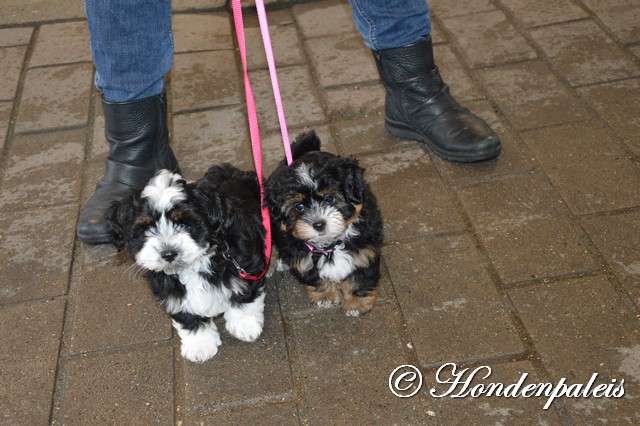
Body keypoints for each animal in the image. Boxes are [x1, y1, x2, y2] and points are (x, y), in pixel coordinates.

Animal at [107, 166, 264, 362]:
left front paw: (245, 325)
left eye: (184, 223)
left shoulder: (244, 266)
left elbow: (244, 297)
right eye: (146, 228)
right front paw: (200, 345)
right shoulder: (172, 294)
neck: (195, 264)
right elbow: (187, 317)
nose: (168, 253)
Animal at [266, 131, 384, 316]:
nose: (319, 224)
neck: (330, 245)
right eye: (299, 207)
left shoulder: (365, 251)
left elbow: (360, 276)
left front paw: (356, 303)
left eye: (329, 198)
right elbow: (314, 275)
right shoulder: (303, 257)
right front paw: (325, 295)